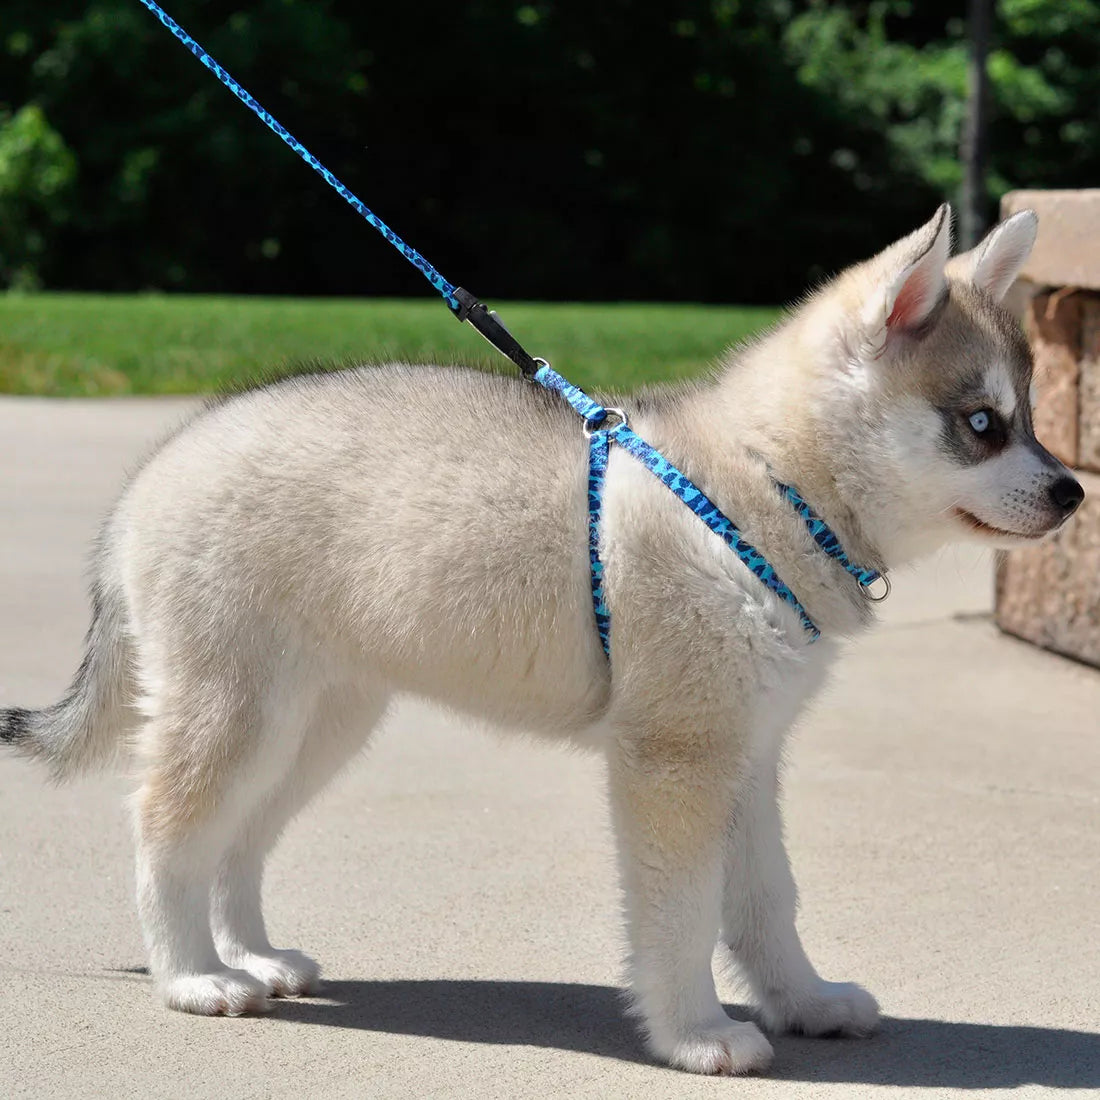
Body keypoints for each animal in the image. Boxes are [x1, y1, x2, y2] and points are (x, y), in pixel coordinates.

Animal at [0, 204, 1082, 1073]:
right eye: (980, 423)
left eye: (1029, 415)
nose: (1073, 491)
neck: (757, 485)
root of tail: (157, 467)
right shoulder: (674, 760)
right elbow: (683, 911)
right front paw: (695, 1031)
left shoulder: (746, 754)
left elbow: (767, 898)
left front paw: (803, 999)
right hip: (238, 708)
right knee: (167, 827)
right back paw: (193, 976)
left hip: (318, 724)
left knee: (239, 839)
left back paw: (254, 956)